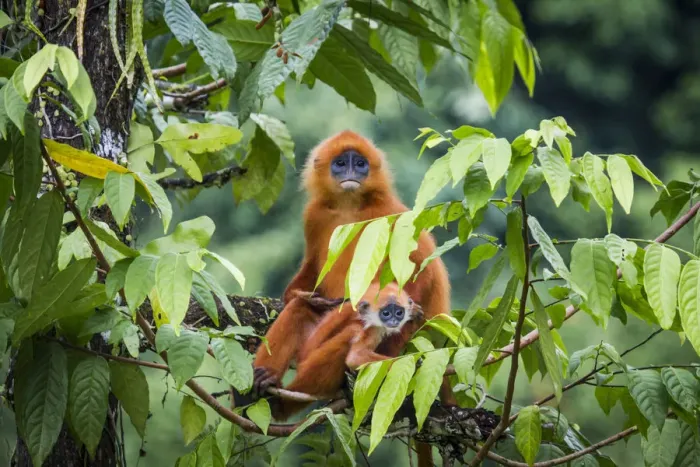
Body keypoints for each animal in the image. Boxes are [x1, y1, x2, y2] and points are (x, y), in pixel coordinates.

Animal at [253, 130, 452, 399]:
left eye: (359, 164)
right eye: (340, 163)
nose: (351, 172)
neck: (349, 205)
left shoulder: (391, 212)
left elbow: (423, 269)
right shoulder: (314, 215)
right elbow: (311, 273)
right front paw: (303, 296)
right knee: (299, 309)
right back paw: (264, 380)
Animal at [269, 282, 424, 421]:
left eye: (399, 313)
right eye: (386, 313)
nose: (393, 321)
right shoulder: (373, 329)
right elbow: (355, 357)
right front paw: (414, 365)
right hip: (310, 367)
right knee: (352, 330)